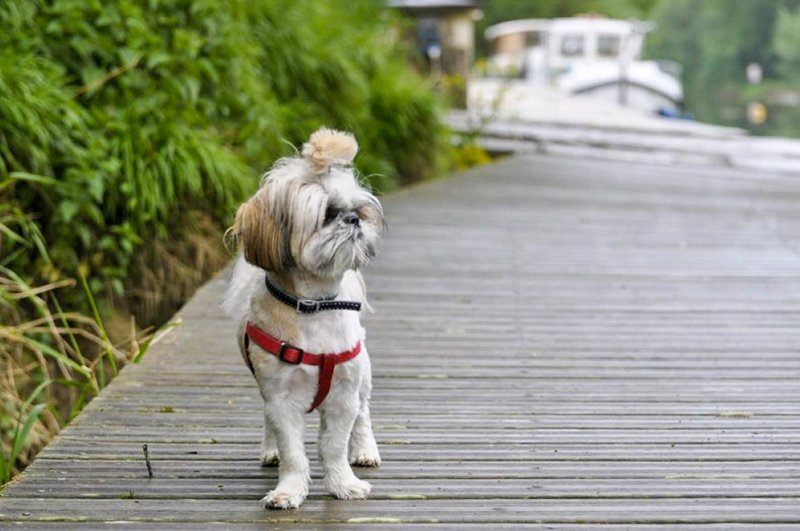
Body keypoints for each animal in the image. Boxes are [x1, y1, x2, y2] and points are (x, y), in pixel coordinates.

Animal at [223, 129, 386, 512]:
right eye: (328, 214)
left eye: (358, 209)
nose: (354, 219)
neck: (314, 305)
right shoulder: (280, 398)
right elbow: (292, 451)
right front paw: (289, 491)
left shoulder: (343, 395)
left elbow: (335, 445)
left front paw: (344, 484)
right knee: (268, 422)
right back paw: (269, 450)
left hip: (363, 373)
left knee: (364, 413)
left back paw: (365, 450)